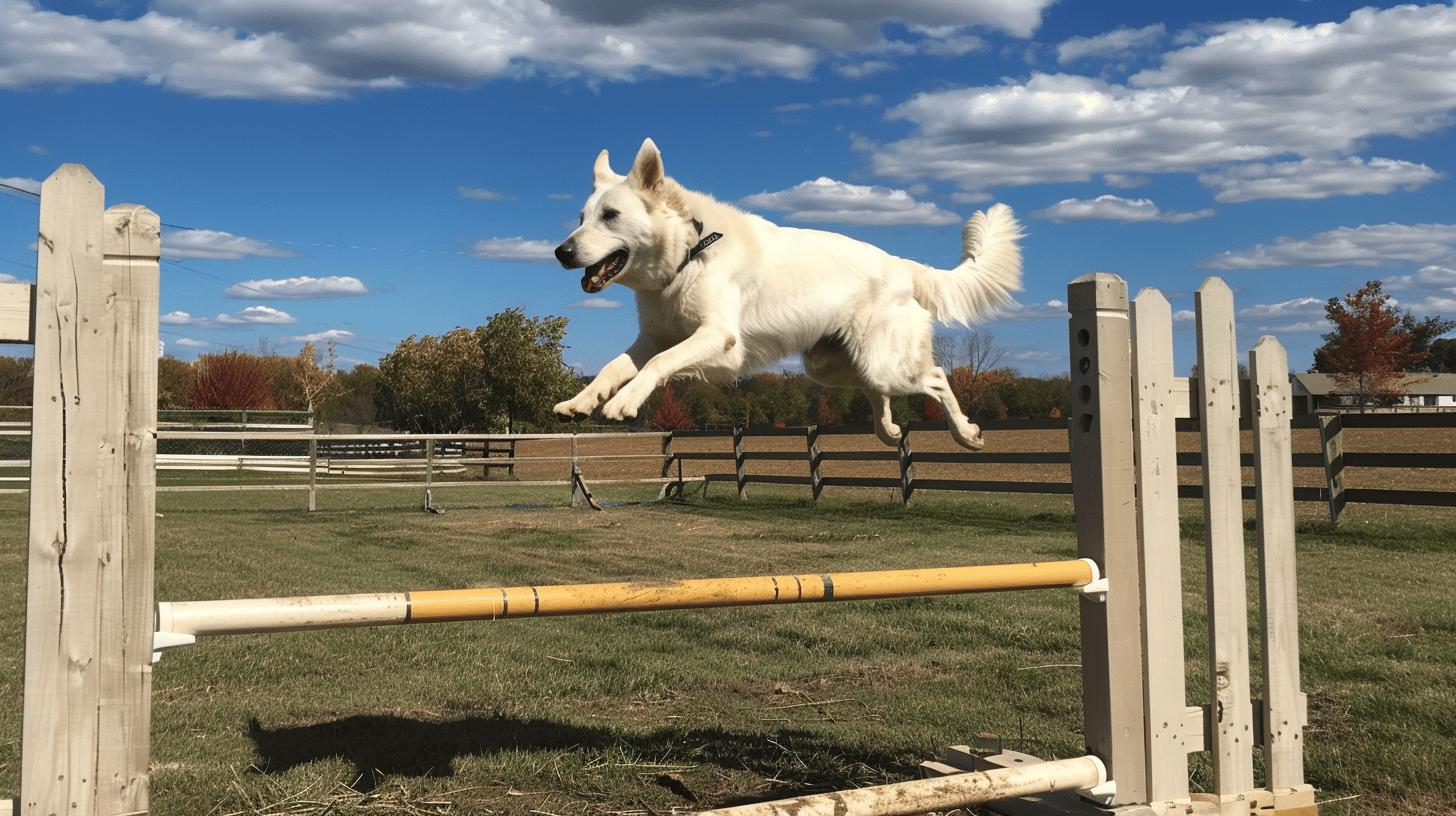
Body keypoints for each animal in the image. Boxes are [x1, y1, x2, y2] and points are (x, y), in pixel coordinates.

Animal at [553, 136, 1025, 448]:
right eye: (581, 218)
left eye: (611, 216)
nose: (561, 252)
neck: (689, 254)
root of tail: (903, 266)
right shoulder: (653, 337)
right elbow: (615, 366)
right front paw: (581, 400)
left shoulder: (717, 338)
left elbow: (658, 365)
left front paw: (623, 403)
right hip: (831, 367)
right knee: (877, 390)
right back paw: (889, 431)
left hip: (886, 364)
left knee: (937, 377)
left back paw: (966, 434)